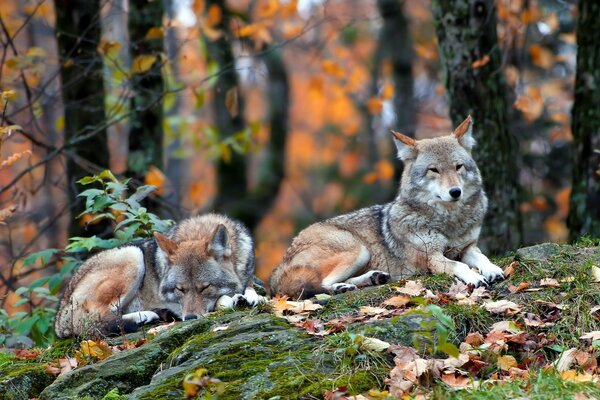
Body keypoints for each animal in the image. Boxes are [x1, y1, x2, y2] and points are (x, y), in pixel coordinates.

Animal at [55, 212, 262, 338]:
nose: (190, 319)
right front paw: (232, 299)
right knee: (94, 321)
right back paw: (143, 316)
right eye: (180, 289)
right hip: (132, 256)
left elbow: (251, 287)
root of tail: (60, 316)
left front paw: (251, 296)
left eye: (205, 287)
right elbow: (222, 301)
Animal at [270, 114, 504, 298]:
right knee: (321, 285)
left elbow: (481, 257)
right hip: (358, 249)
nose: (455, 192)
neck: (449, 222)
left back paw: (372, 278)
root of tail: (277, 270)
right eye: (434, 170)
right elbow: (460, 265)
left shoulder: (467, 247)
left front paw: (492, 269)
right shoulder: (432, 258)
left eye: (458, 167)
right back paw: (341, 288)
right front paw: (475, 277)